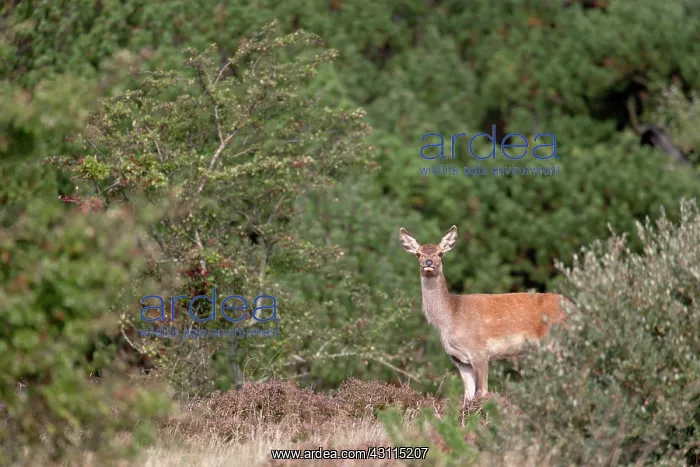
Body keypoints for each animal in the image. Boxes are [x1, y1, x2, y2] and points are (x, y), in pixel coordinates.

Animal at [399, 225, 569, 404]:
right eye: (418, 253)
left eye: (440, 253)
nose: (428, 263)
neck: (449, 317)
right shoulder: (459, 360)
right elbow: (468, 397)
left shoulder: (479, 351)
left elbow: (482, 392)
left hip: (555, 341)